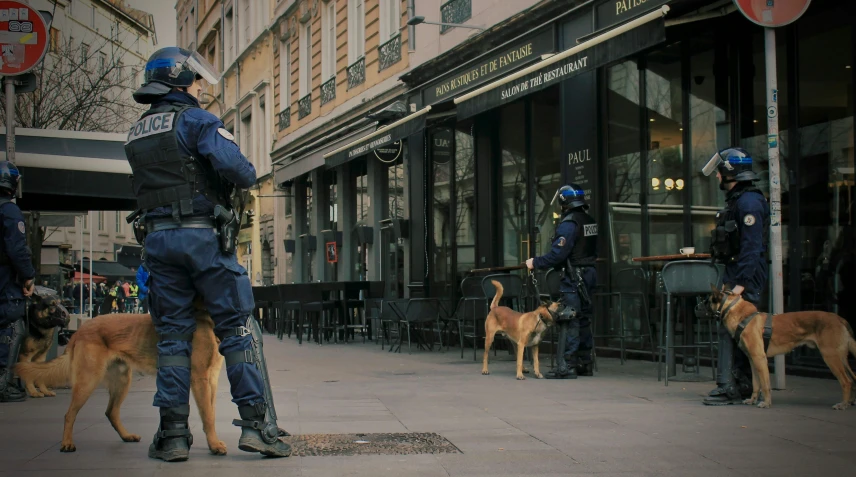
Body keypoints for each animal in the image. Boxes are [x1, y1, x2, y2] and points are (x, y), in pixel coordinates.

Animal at [15, 304, 227, 454]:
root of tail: (80, 331)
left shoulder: (212, 379)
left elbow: (212, 412)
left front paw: (213, 442)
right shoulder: (200, 378)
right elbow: (208, 415)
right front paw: (214, 445)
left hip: (123, 381)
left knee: (111, 412)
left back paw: (126, 436)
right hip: (88, 381)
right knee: (70, 414)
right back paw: (67, 443)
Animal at [704, 284, 856, 410]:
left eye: (708, 301)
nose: (699, 306)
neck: (744, 317)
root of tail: (840, 319)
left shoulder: (760, 359)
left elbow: (765, 384)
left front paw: (766, 403)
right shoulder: (753, 360)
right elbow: (756, 384)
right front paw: (752, 400)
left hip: (831, 357)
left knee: (847, 381)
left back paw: (843, 404)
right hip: (841, 358)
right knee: (853, 378)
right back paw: (850, 402)